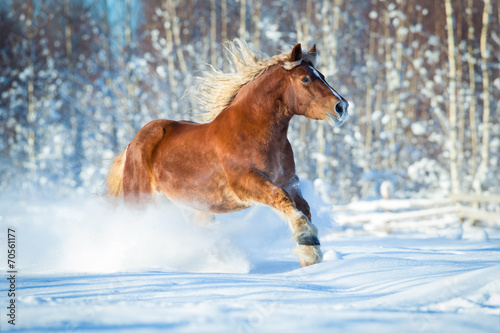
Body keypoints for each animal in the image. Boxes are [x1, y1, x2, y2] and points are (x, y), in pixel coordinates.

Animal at [105, 39, 348, 268]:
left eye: (322, 75)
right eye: (305, 79)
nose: (342, 107)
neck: (252, 131)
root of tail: (131, 144)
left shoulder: (289, 181)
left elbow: (303, 206)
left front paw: (310, 257)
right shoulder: (245, 182)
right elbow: (280, 198)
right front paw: (307, 241)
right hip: (140, 200)